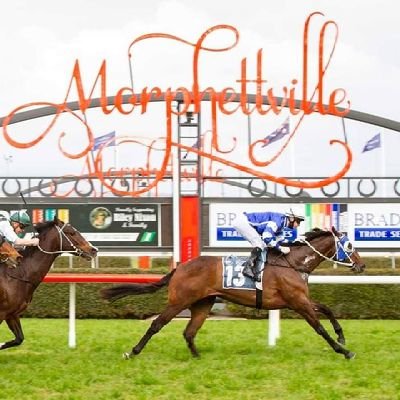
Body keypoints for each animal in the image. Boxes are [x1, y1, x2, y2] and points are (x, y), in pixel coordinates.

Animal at [0, 216, 97, 350]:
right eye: (71, 232)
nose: (93, 250)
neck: (18, 274)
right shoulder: (2, 313)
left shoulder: (12, 314)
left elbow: (19, 339)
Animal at [102, 227, 366, 360]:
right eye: (350, 246)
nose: (362, 265)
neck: (293, 263)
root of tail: (180, 267)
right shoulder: (298, 302)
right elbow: (319, 327)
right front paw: (344, 351)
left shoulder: (299, 300)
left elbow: (327, 309)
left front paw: (342, 337)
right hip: (179, 301)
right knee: (156, 324)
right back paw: (132, 352)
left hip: (203, 303)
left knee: (189, 332)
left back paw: (198, 357)